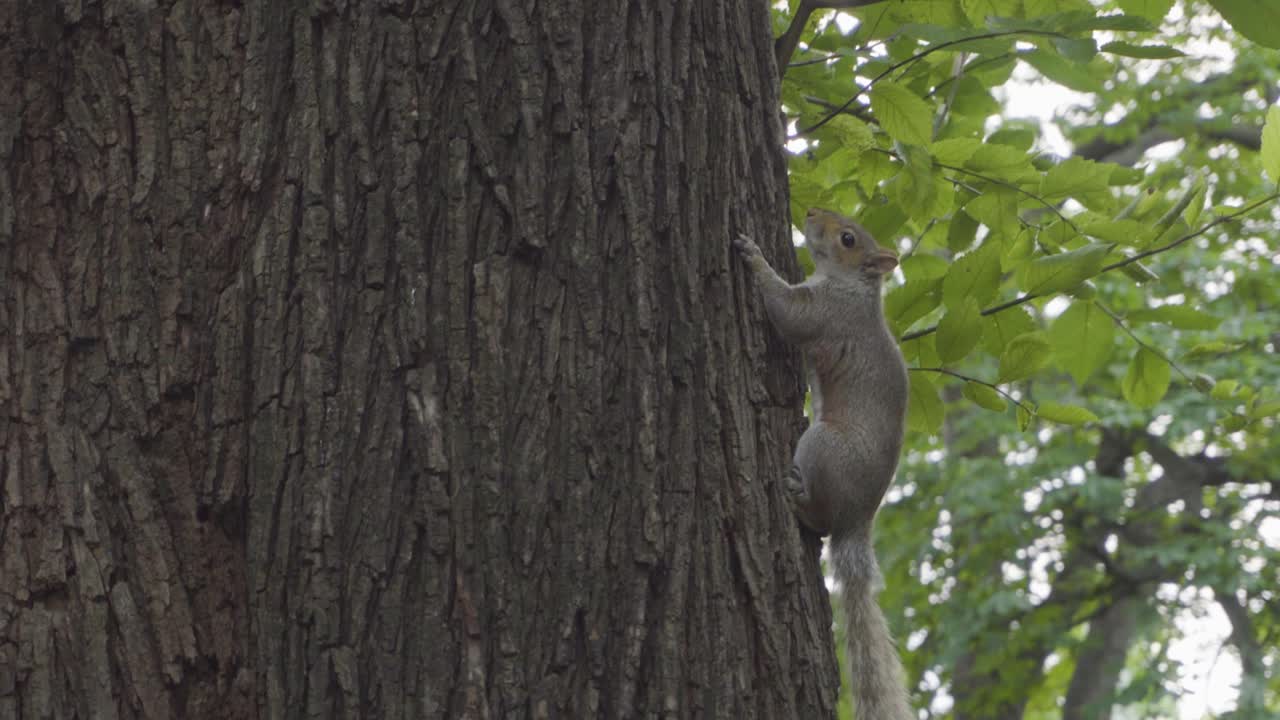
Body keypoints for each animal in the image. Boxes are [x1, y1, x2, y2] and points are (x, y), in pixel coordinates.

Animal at [733, 207, 912, 720]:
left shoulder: (826, 313)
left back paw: (796, 501)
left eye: (848, 238)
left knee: (818, 520)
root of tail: (857, 520)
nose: (811, 213)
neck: (854, 287)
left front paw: (755, 257)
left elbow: (788, 312)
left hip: (820, 445)